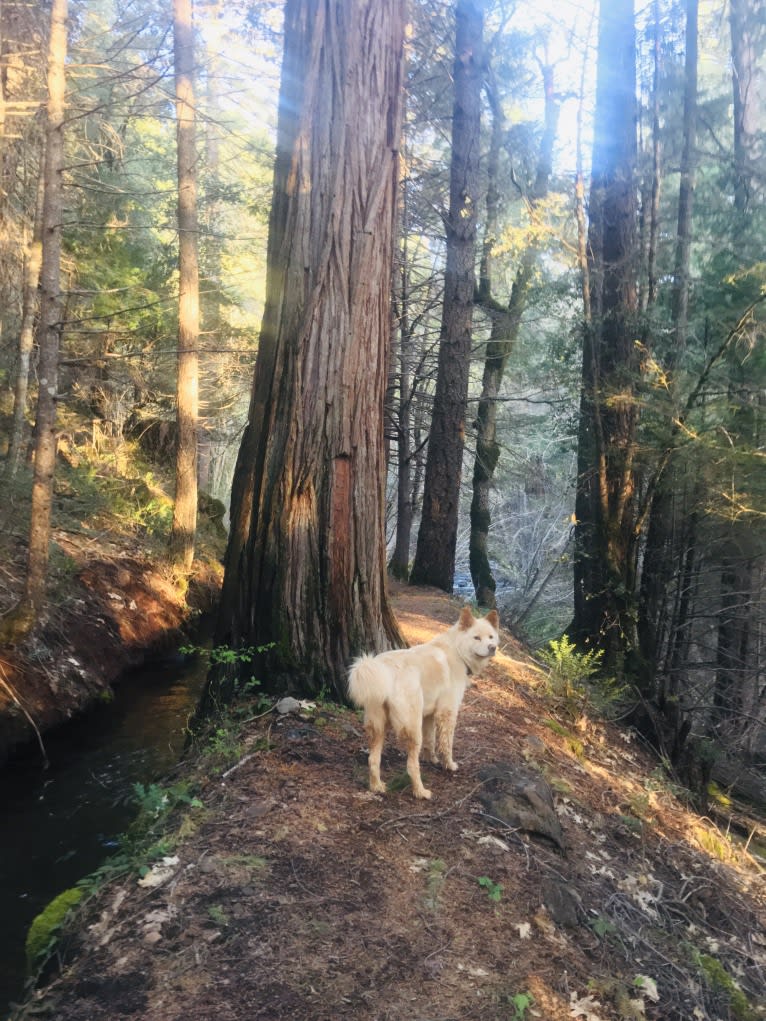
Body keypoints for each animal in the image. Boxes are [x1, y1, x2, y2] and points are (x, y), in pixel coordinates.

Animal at [347, 604, 500, 796]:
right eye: (476, 637)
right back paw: (421, 792)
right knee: (411, 766)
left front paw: (431, 758)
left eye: (491, 637)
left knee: (373, 760)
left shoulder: (429, 715)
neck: (457, 650)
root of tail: (384, 668)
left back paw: (377, 787)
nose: (492, 647)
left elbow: (431, 740)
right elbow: (446, 744)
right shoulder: (447, 712)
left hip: (378, 727)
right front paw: (449, 765)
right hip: (412, 727)